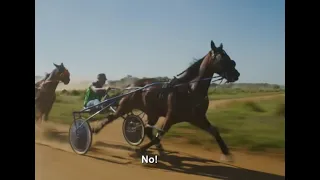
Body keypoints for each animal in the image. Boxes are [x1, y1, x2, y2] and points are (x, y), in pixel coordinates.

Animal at [91, 40, 239, 162]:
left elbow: (214, 131)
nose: (236, 74)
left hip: (152, 113)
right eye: (222, 58)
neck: (190, 90)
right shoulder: (171, 116)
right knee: (111, 117)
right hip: (126, 106)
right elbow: (160, 134)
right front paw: (138, 150)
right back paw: (94, 130)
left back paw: (159, 149)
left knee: (147, 129)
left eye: (229, 58)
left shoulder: (197, 118)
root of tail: (130, 86)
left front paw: (227, 154)